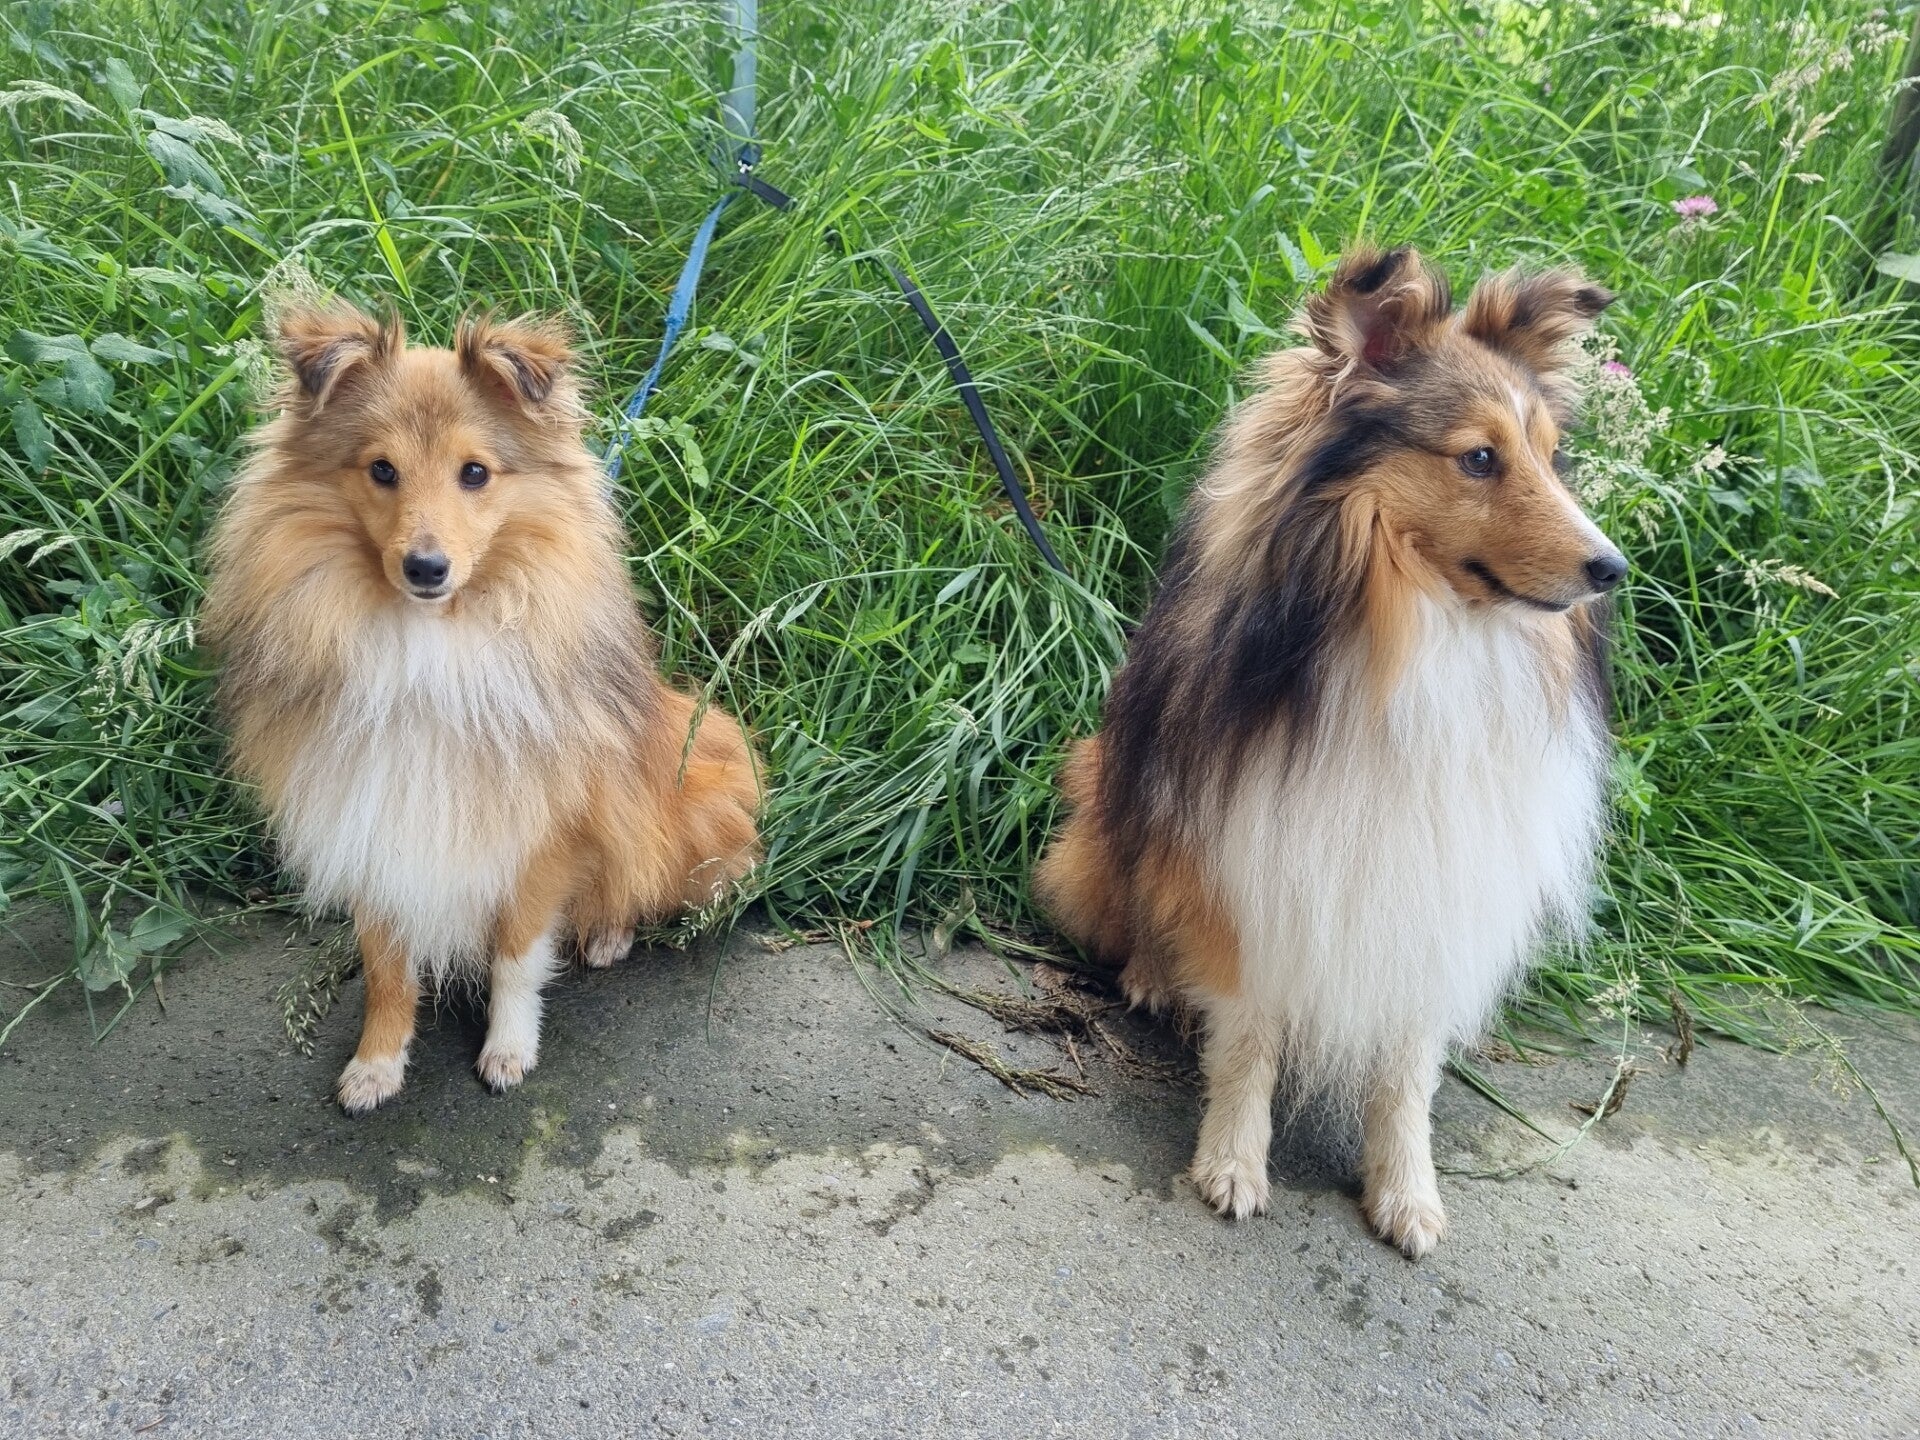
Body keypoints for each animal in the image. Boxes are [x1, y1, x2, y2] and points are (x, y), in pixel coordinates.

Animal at [201, 301, 763, 1113]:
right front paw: (377, 1063)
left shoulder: (540, 838)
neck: (428, 646)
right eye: (382, 469)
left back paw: (608, 935)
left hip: (697, 774)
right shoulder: (370, 817)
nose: (426, 567)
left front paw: (508, 1050)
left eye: (475, 472)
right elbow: (386, 968)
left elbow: (516, 957)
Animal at [1034, 247, 1623, 1257]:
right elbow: (1249, 1036)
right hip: (1114, 794)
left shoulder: (1438, 889)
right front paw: (1233, 1165)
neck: (1425, 640)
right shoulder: (1256, 862)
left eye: (1550, 457)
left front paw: (1407, 1193)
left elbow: (1408, 1071)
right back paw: (1153, 975)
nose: (1611, 569)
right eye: (1478, 457)